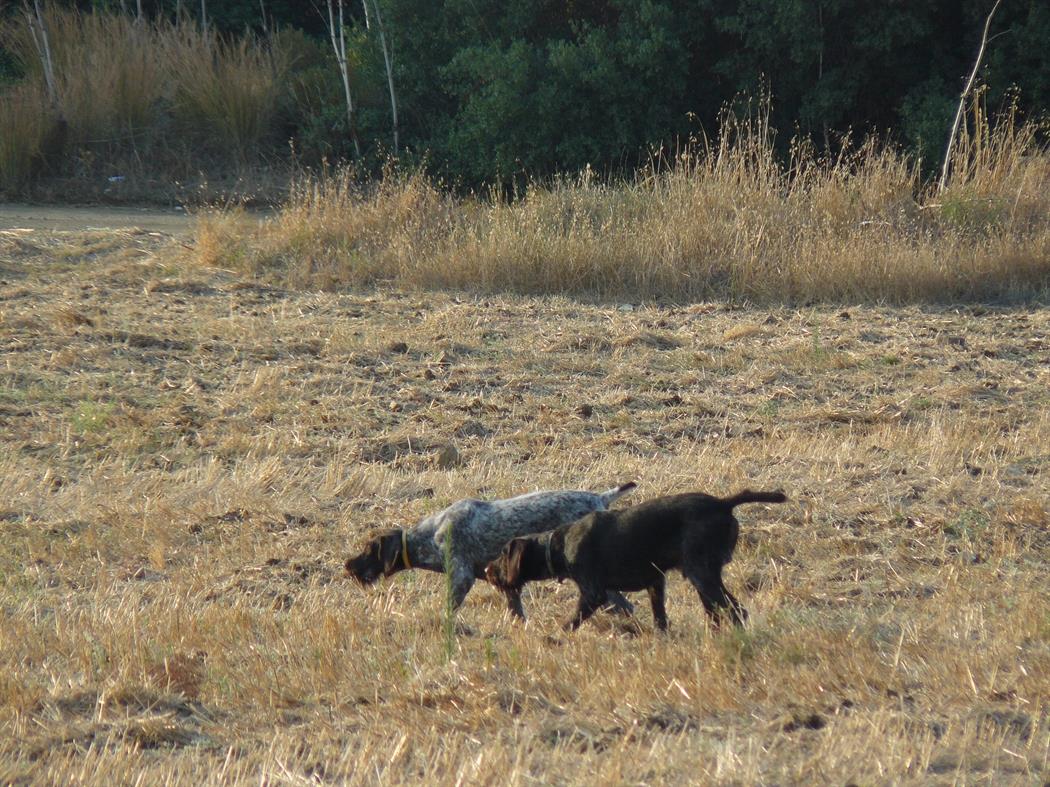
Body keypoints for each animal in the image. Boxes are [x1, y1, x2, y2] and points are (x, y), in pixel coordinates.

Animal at [348, 484, 634, 621]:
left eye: (368, 549)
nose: (347, 565)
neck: (430, 535)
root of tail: (601, 498)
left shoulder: (461, 578)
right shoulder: (505, 584)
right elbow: (517, 614)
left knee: (622, 604)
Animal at [482, 491, 789, 633]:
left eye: (502, 554)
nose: (486, 570)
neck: (558, 545)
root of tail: (724, 503)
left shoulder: (593, 592)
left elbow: (573, 620)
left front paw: (555, 636)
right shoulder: (655, 582)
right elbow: (660, 618)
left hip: (701, 573)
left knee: (734, 610)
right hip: (705, 576)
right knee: (721, 612)